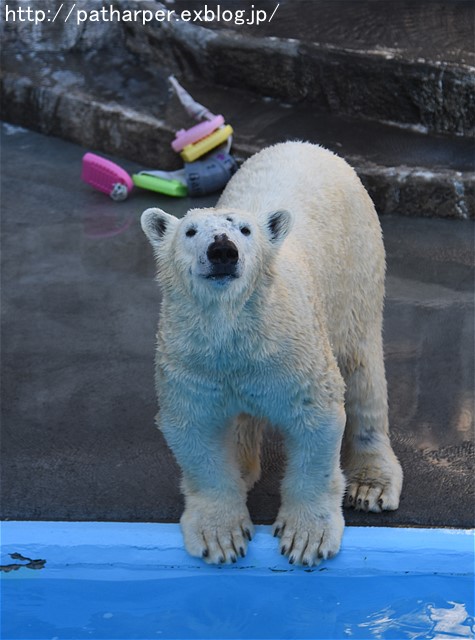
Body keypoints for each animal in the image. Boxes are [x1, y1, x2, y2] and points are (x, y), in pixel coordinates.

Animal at [140, 140, 402, 564]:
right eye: (190, 231)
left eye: (245, 230)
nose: (223, 250)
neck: (235, 325)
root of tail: (311, 146)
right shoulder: (191, 357)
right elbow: (195, 427)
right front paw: (222, 536)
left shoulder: (295, 351)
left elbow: (317, 419)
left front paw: (305, 538)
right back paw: (244, 466)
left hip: (357, 273)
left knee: (363, 371)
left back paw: (372, 483)